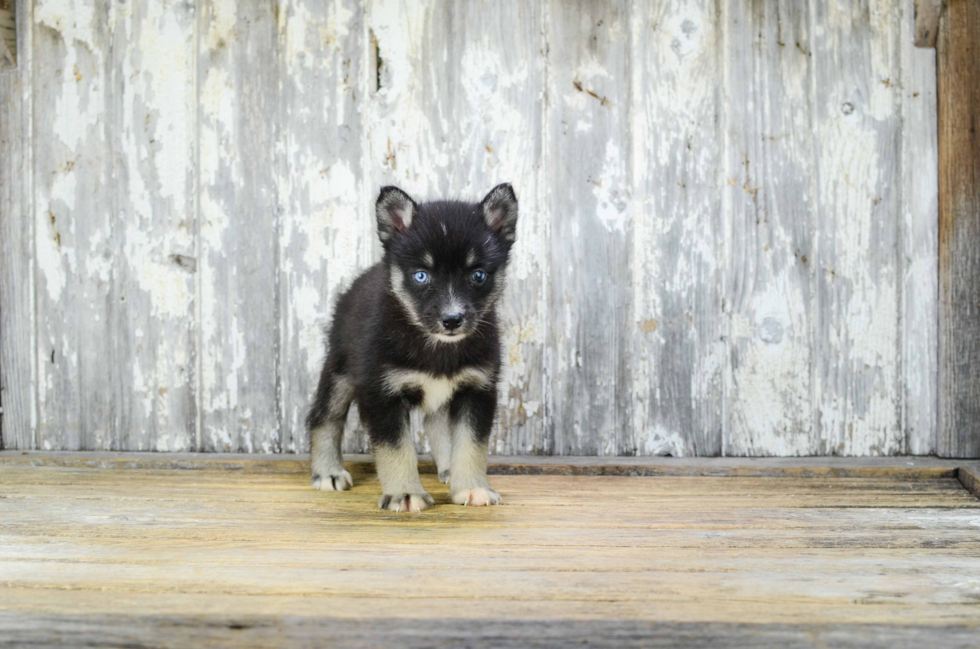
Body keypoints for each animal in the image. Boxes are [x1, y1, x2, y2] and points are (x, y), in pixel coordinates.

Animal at [306, 182, 520, 512]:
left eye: (478, 275)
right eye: (421, 275)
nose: (452, 320)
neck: (436, 347)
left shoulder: (477, 389)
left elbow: (471, 444)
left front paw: (471, 487)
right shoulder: (381, 393)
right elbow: (396, 449)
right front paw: (404, 494)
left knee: (436, 423)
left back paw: (449, 469)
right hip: (339, 370)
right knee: (323, 417)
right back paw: (328, 472)